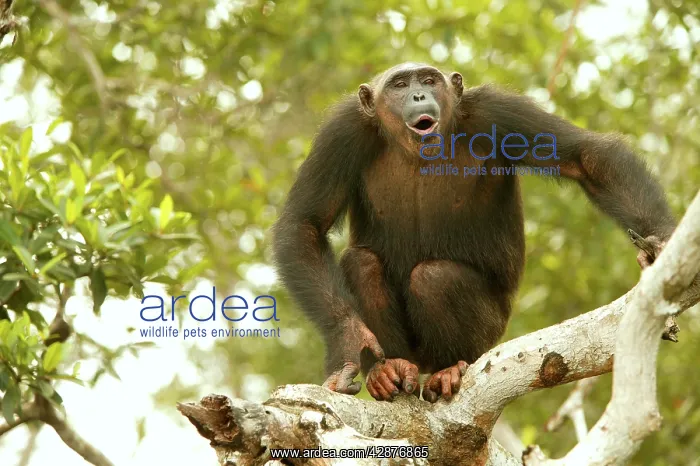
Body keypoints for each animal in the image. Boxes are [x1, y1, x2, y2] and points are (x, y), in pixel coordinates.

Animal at [271, 62, 677, 402]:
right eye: (400, 85)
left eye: (429, 80)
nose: (418, 95)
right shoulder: (341, 133)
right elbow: (305, 224)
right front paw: (348, 341)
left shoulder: (499, 112)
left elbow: (587, 158)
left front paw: (661, 242)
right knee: (362, 263)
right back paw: (388, 370)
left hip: (490, 332)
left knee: (435, 279)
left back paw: (450, 368)